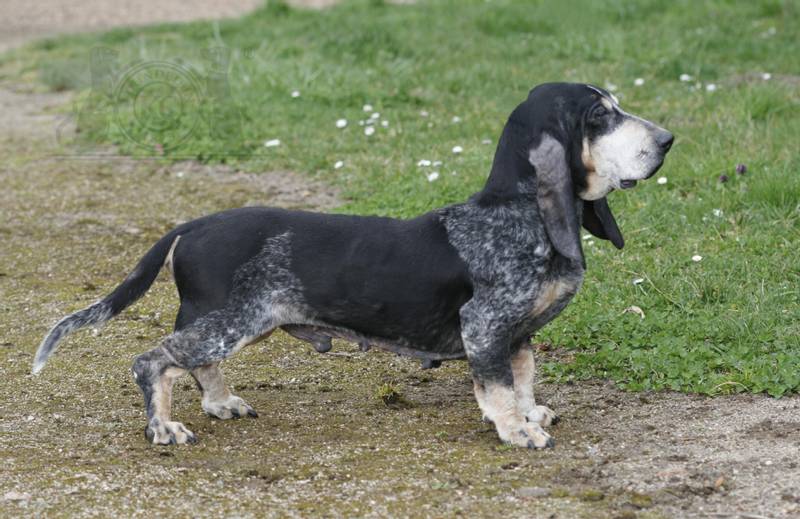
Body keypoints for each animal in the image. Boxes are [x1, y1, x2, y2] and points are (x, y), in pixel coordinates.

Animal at [31, 83, 672, 448]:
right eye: (600, 116)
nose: (668, 139)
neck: (518, 213)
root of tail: (193, 224)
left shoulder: (516, 335)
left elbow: (522, 376)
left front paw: (530, 411)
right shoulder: (486, 327)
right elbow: (494, 389)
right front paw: (517, 430)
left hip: (231, 324)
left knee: (194, 365)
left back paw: (220, 403)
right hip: (226, 322)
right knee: (152, 361)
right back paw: (163, 428)